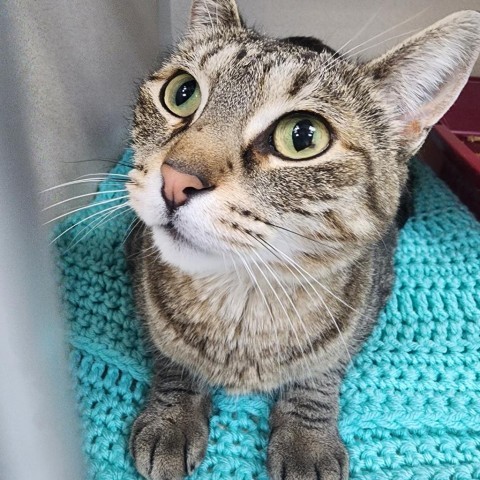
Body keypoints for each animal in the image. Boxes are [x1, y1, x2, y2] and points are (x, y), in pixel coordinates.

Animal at [124, 1, 480, 478]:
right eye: (183, 93)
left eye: (303, 136)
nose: (176, 180)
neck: (244, 298)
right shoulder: (140, 283)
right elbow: (171, 356)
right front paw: (172, 415)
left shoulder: (362, 313)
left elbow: (319, 374)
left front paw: (306, 441)